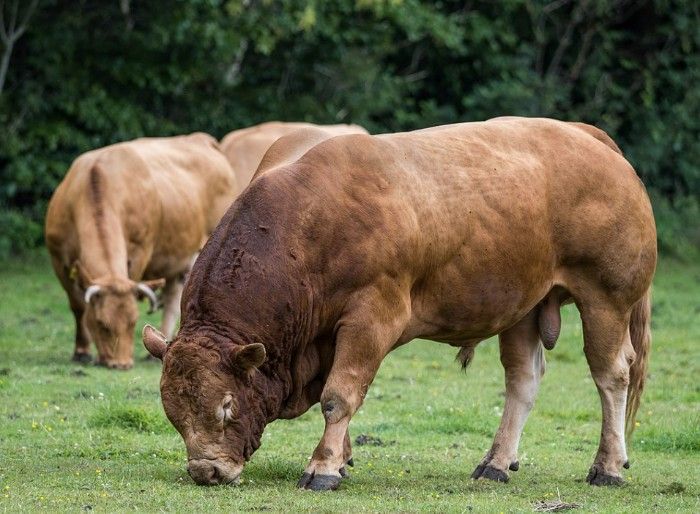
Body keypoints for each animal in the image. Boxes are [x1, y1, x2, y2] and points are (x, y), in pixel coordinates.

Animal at [46, 133, 239, 369]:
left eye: (133, 322)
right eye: (101, 324)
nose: (121, 364)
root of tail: (200, 138)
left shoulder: (139, 252)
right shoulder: (58, 259)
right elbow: (77, 306)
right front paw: (81, 351)